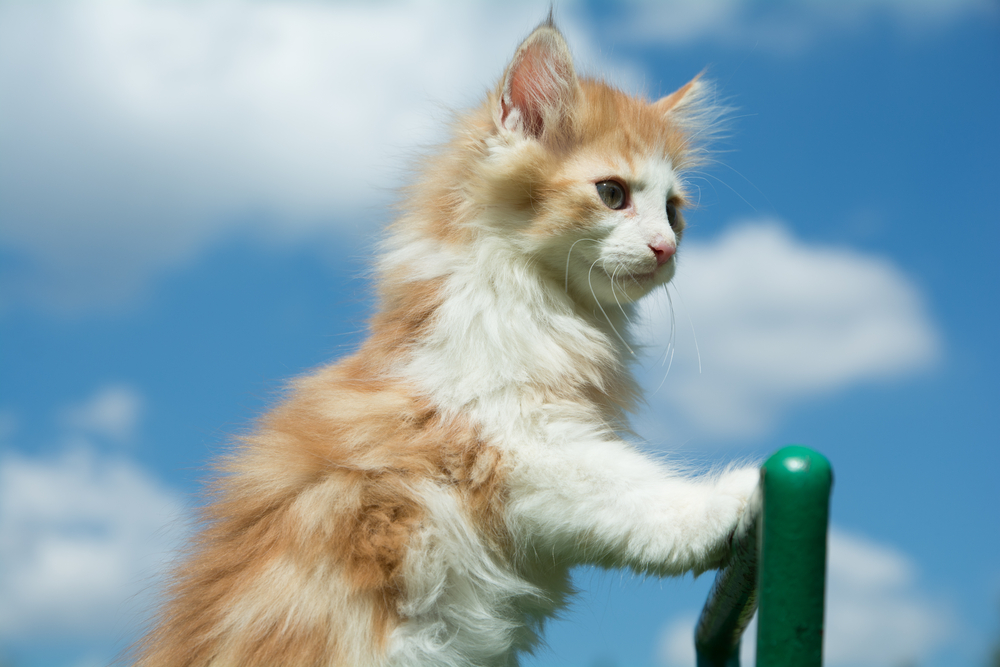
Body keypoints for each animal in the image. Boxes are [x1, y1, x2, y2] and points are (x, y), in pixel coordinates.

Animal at [133, 17, 756, 667]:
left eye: (674, 211)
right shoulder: (514, 439)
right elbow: (630, 496)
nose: (667, 249)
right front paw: (733, 500)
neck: (543, 302)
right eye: (612, 193)